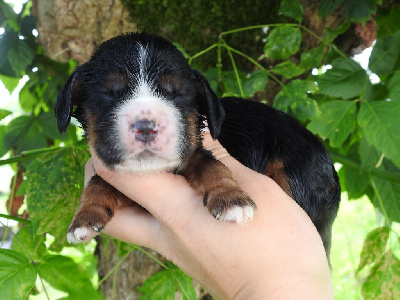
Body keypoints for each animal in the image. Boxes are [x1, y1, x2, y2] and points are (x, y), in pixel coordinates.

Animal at [54, 32, 340, 258]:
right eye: (110, 93)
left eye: (176, 93)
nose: (146, 126)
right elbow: (98, 184)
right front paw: (83, 218)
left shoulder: (196, 152)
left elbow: (215, 168)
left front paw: (232, 199)